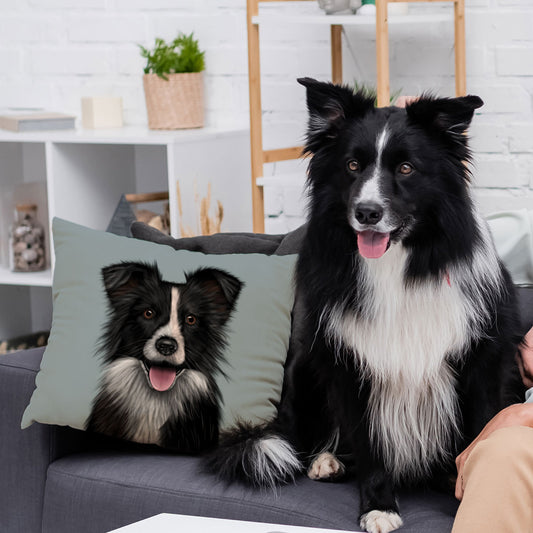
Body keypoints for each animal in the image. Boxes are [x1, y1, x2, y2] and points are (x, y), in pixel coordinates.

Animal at [209, 79, 524, 532]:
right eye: (353, 166)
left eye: (406, 169)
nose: (367, 212)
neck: (398, 264)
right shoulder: (352, 363)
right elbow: (370, 445)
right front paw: (379, 507)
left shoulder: (483, 358)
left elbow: (482, 431)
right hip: (306, 363)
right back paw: (326, 460)